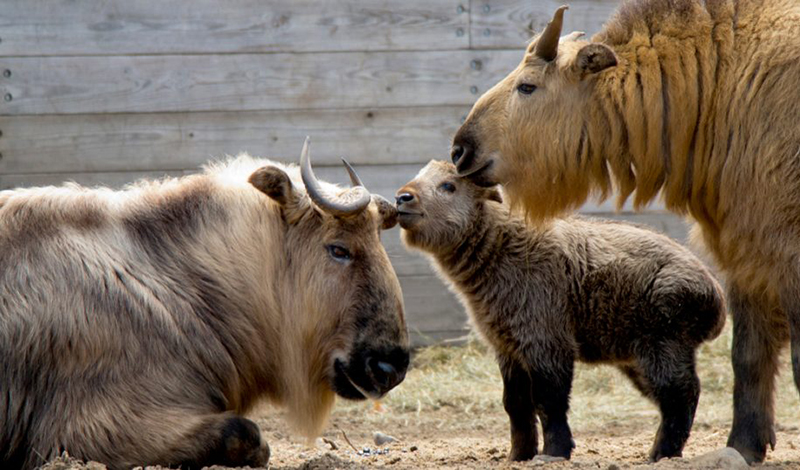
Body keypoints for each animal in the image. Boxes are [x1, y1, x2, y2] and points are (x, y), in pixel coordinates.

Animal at [398, 162, 724, 462]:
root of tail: (714, 294)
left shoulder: (546, 341)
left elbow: (549, 400)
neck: (501, 247)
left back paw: (661, 454)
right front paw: (519, 455)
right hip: (638, 359)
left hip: (662, 346)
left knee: (682, 396)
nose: (403, 197)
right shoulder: (507, 347)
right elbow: (515, 404)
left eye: (449, 186)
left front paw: (554, 452)